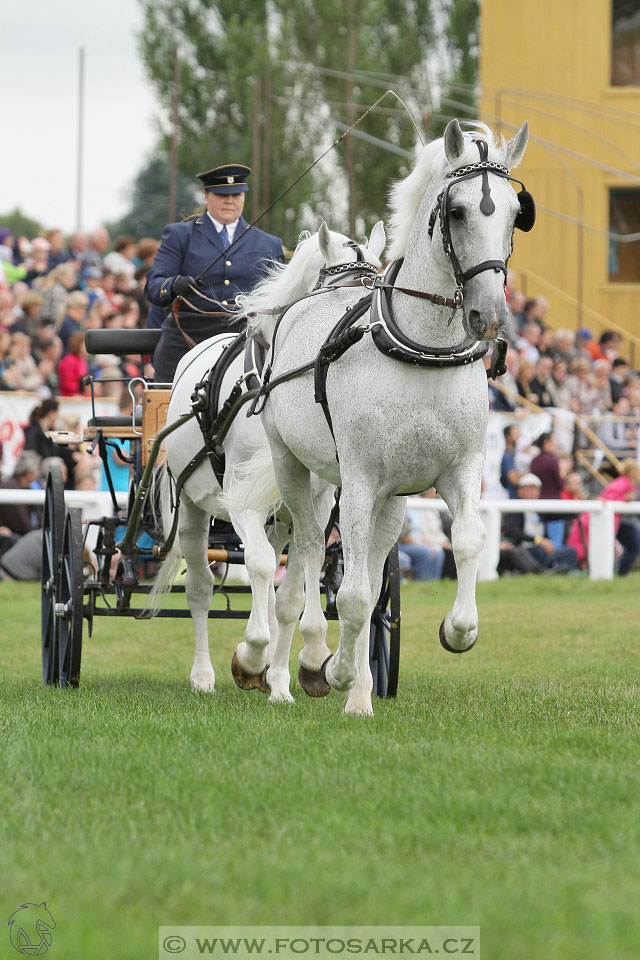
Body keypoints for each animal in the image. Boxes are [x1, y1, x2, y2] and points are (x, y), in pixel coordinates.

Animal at [151, 221, 384, 696]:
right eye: (343, 293)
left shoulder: (312, 503)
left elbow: (292, 591)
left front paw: (291, 670)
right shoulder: (240, 498)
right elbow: (257, 566)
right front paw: (251, 655)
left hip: (278, 517)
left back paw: (273, 677)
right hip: (192, 508)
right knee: (201, 587)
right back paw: (203, 675)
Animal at [235, 118, 528, 712]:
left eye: (515, 212)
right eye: (456, 211)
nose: (488, 315)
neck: (423, 349)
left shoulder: (458, 470)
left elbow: (462, 543)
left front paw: (457, 630)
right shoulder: (361, 479)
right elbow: (349, 594)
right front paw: (336, 670)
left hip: (388, 497)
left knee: (364, 575)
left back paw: (356, 692)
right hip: (293, 466)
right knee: (304, 558)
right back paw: (296, 669)